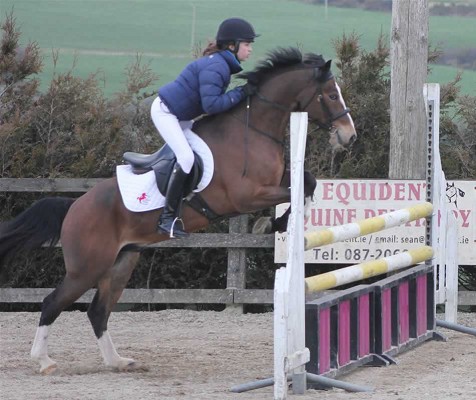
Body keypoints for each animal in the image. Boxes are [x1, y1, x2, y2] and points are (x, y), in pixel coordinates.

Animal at [0, 47, 356, 374]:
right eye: (330, 94)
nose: (349, 136)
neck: (253, 128)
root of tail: (75, 205)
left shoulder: (274, 182)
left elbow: (307, 181)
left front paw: (281, 221)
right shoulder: (245, 195)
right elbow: (299, 189)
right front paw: (275, 223)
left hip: (121, 262)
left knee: (98, 311)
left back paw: (118, 361)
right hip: (86, 267)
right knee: (52, 304)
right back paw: (44, 361)